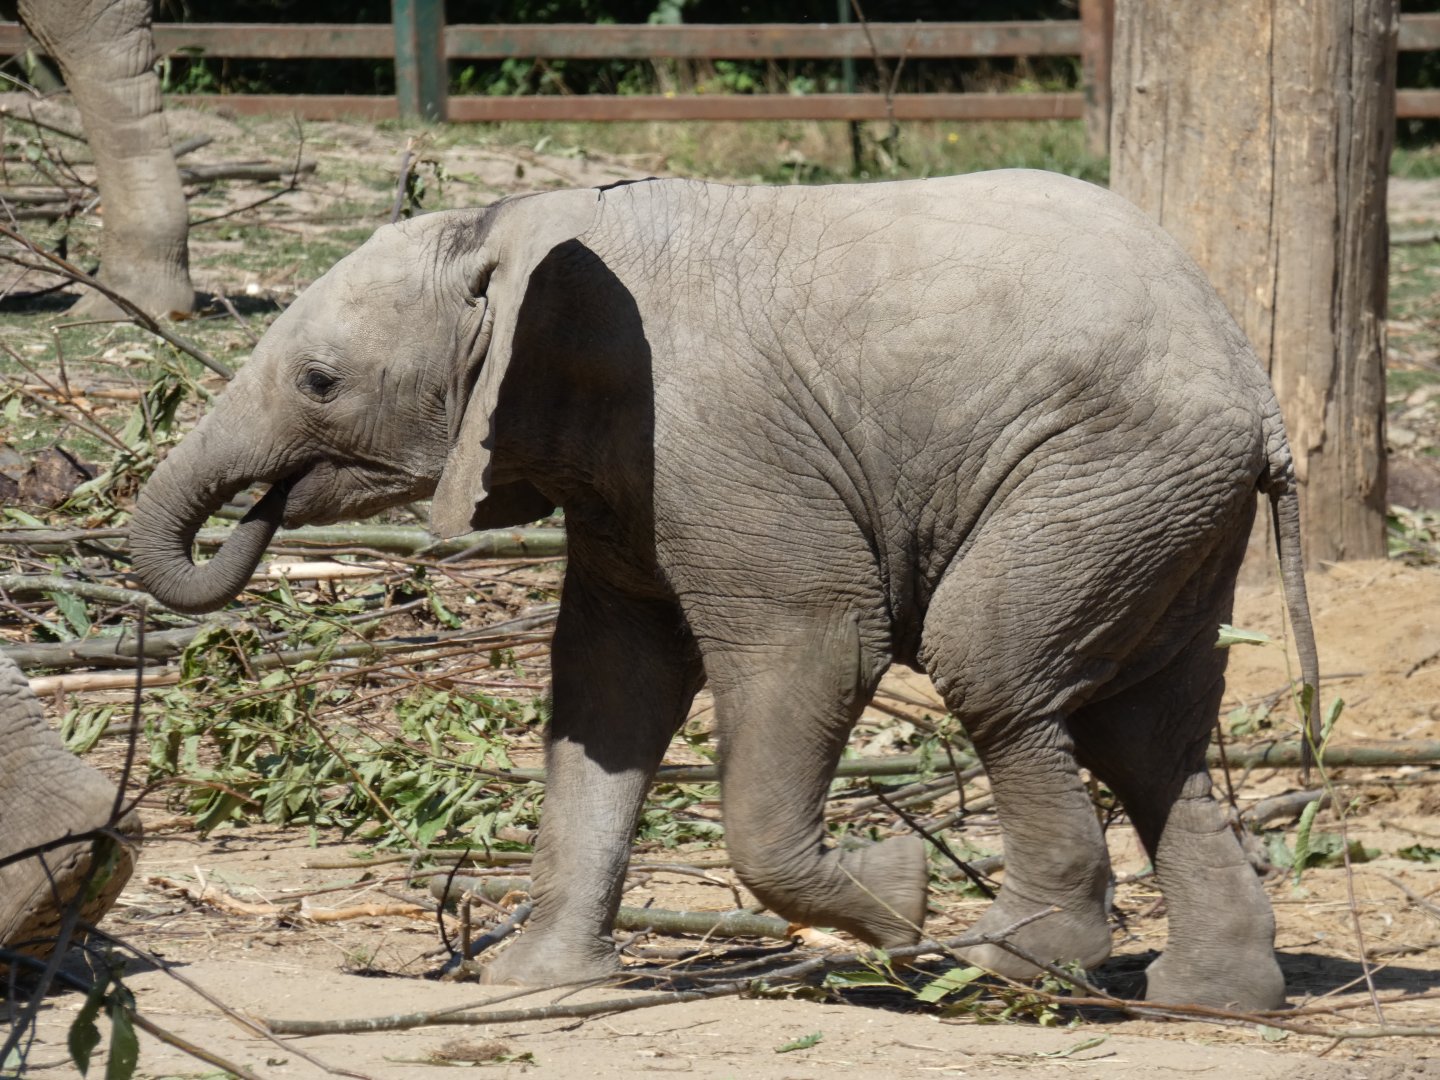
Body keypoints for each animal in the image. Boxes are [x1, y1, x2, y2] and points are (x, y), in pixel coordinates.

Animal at [128, 170, 1320, 1010]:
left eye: (320, 382)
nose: (263, 506)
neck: (515, 228)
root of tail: (1257, 394)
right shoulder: (626, 469)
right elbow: (610, 684)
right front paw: (533, 987)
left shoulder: (718, 439)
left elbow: (817, 640)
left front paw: (899, 898)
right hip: (1160, 505)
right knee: (1143, 726)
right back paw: (1209, 999)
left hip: (1100, 475)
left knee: (995, 669)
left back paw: (1006, 961)